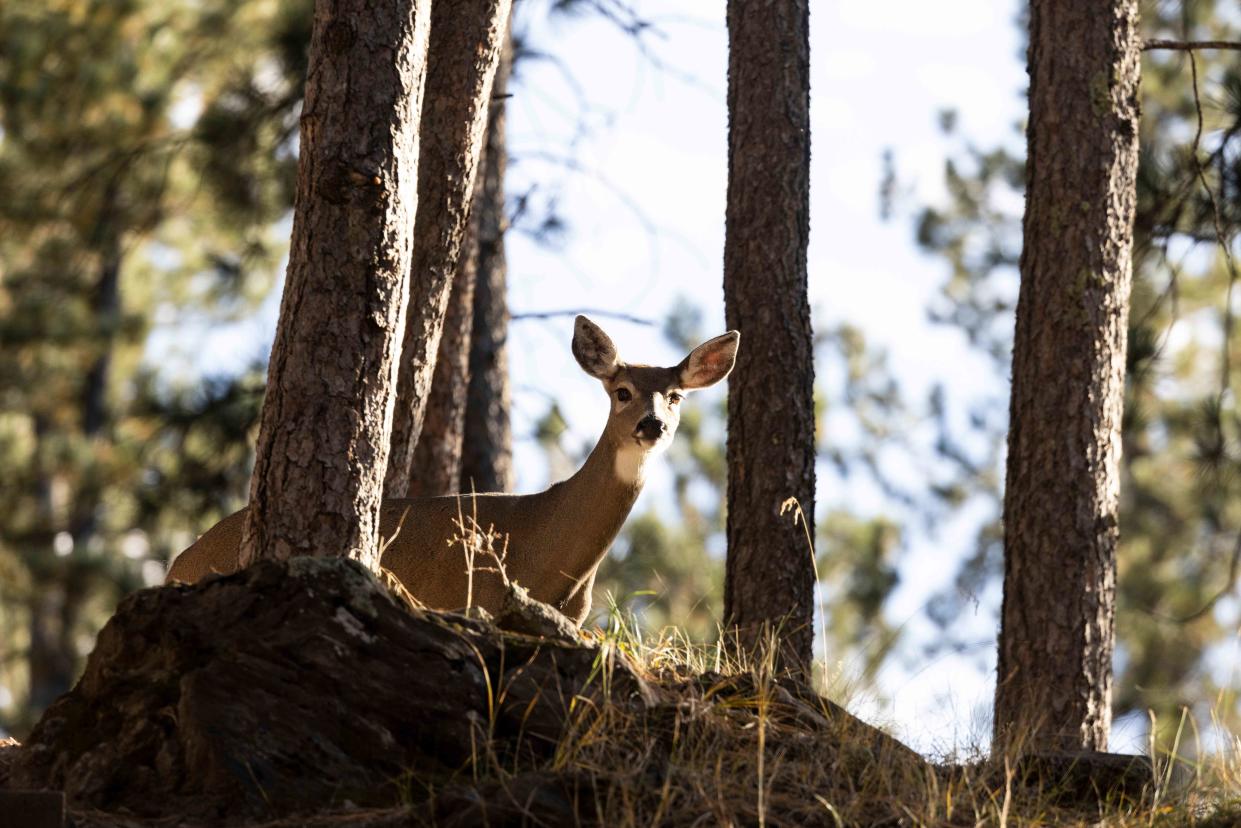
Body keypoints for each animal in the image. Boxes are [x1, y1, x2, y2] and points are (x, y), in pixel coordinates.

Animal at [163, 314, 734, 625]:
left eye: (676, 395)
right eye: (622, 391)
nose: (652, 424)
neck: (549, 552)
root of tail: (177, 562)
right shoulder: (476, 597)